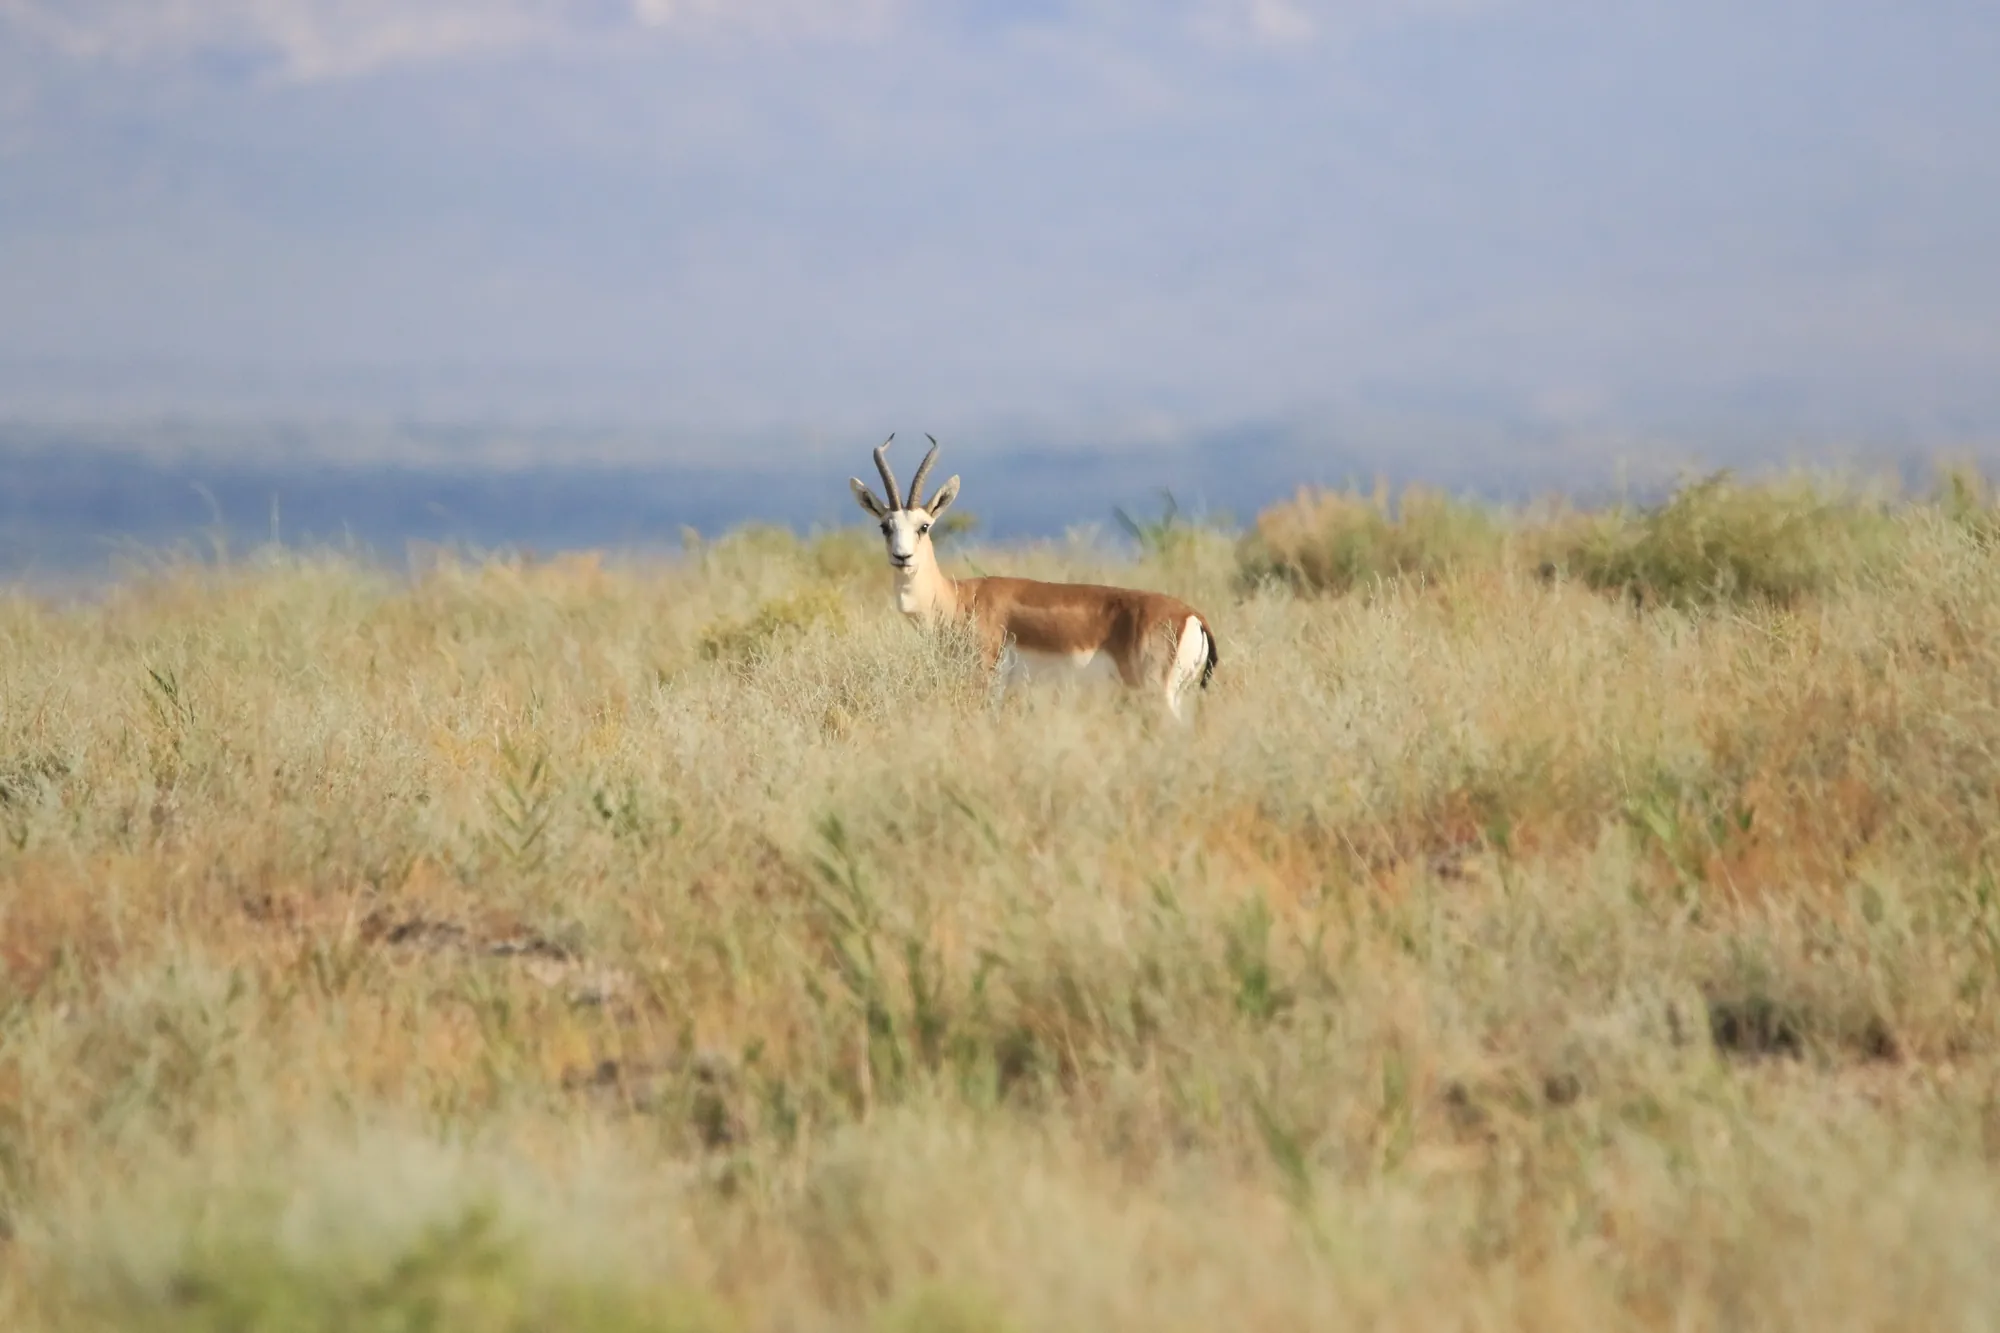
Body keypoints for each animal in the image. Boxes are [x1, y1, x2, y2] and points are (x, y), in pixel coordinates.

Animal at [849, 434, 1219, 719]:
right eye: (885, 526)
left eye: (924, 526)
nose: (902, 557)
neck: (958, 599)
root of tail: (1192, 615)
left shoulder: (988, 681)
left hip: (1158, 697)